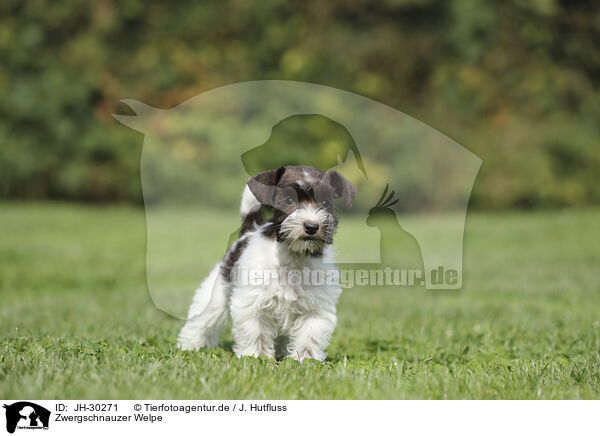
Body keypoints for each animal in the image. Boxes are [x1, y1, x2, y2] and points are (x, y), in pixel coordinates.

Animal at [177, 165, 356, 362]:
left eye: (325, 202)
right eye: (290, 200)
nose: (311, 226)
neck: (294, 255)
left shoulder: (316, 308)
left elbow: (309, 336)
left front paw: (305, 360)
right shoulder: (253, 303)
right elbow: (257, 333)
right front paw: (257, 357)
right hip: (215, 295)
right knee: (202, 320)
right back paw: (189, 345)